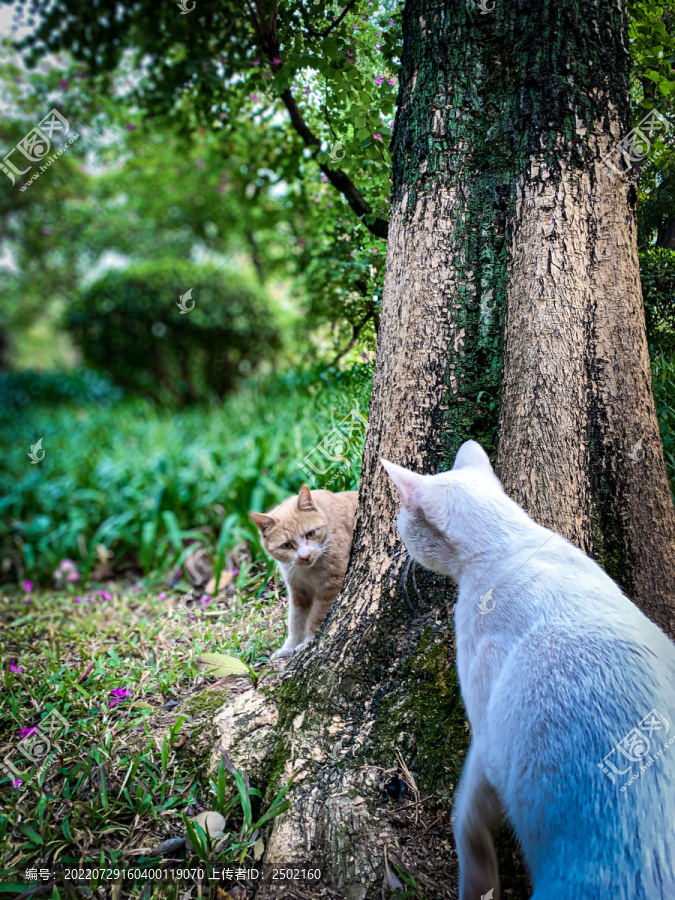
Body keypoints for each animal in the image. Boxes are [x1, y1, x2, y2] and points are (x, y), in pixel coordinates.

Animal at [251, 488, 360, 656]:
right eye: (286, 545)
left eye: (310, 534)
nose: (305, 556)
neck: (307, 571)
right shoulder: (298, 591)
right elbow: (296, 621)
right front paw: (288, 648)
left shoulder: (331, 586)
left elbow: (317, 617)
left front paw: (307, 641)